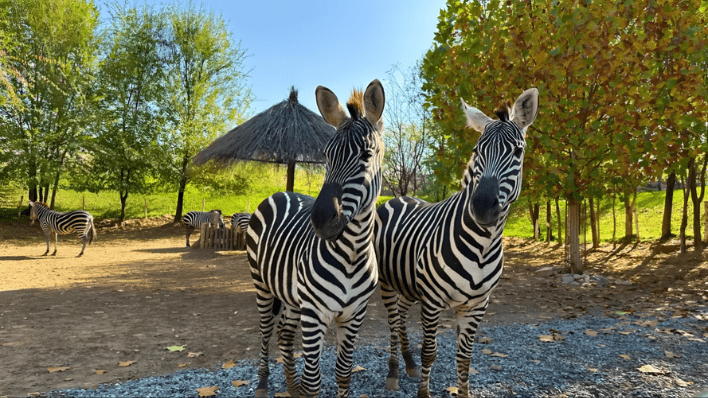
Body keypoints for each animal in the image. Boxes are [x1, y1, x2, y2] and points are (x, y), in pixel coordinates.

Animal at [246, 78, 384, 398]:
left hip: (292, 296)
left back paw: (290, 386)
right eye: (326, 155)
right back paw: (262, 384)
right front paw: (303, 386)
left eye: (367, 156)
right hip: (262, 284)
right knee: (265, 331)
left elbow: (343, 373)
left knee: (284, 334)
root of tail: (281, 192)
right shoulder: (315, 313)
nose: (321, 220)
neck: (352, 254)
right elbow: (313, 382)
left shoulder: (355, 315)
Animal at [376, 88, 536, 398]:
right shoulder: (433, 300)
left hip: (408, 283)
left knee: (400, 318)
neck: (482, 246)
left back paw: (409, 364)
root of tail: (399, 197)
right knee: (391, 322)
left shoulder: (477, 305)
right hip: (387, 282)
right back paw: (393, 372)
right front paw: (423, 393)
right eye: (476, 151)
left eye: (518, 152)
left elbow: (465, 357)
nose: (483, 207)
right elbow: (430, 352)